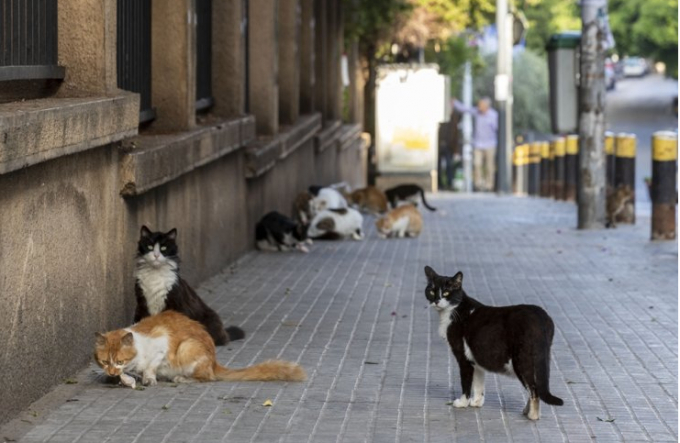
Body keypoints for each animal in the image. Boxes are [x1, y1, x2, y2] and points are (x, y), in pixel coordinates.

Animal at [93, 310, 306, 386]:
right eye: (104, 362)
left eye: (120, 361)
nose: (112, 372)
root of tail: (214, 362)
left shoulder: (162, 345)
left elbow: (151, 365)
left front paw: (148, 377)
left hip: (187, 347)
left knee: (206, 378)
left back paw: (181, 378)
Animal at [424, 266, 564, 422]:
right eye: (431, 291)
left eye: (446, 292)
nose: (436, 301)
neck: (452, 312)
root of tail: (540, 316)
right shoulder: (475, 358)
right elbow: (478, 383)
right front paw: (476, 402)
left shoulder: (463, 357)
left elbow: (466, 383)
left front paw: (462, 403)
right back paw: (526, 411)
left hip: (522, 361)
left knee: (534, 390)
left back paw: (532, 415)